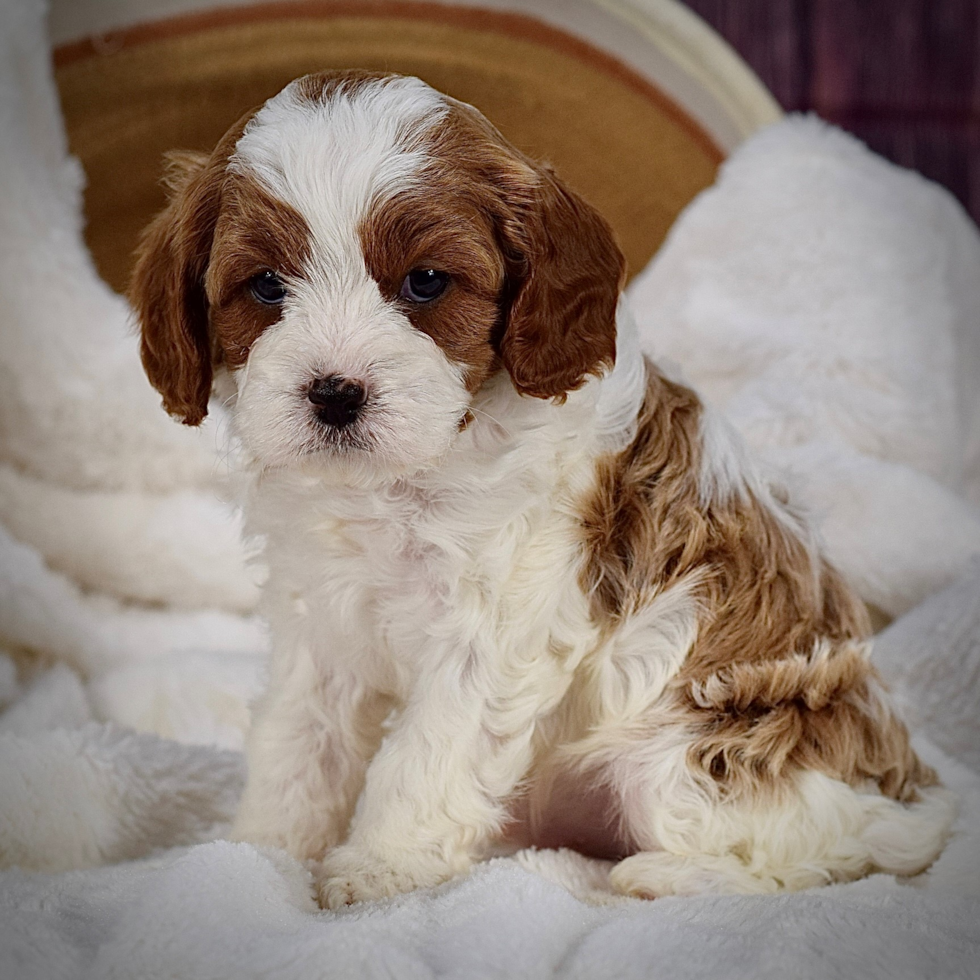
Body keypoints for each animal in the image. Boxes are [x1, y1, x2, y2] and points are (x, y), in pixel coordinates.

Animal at [130, 72, 948, 908]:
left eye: (426, 282)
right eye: (266, 286)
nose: (333, 393)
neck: (399, 479)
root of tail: (908, 796)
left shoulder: (495, 626)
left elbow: (429, 753)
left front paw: (382, 864)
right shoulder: (319, 617)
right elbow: (299, 740)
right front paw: (258, 854)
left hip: (692, 751)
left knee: (817, 856)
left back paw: (663, 876)